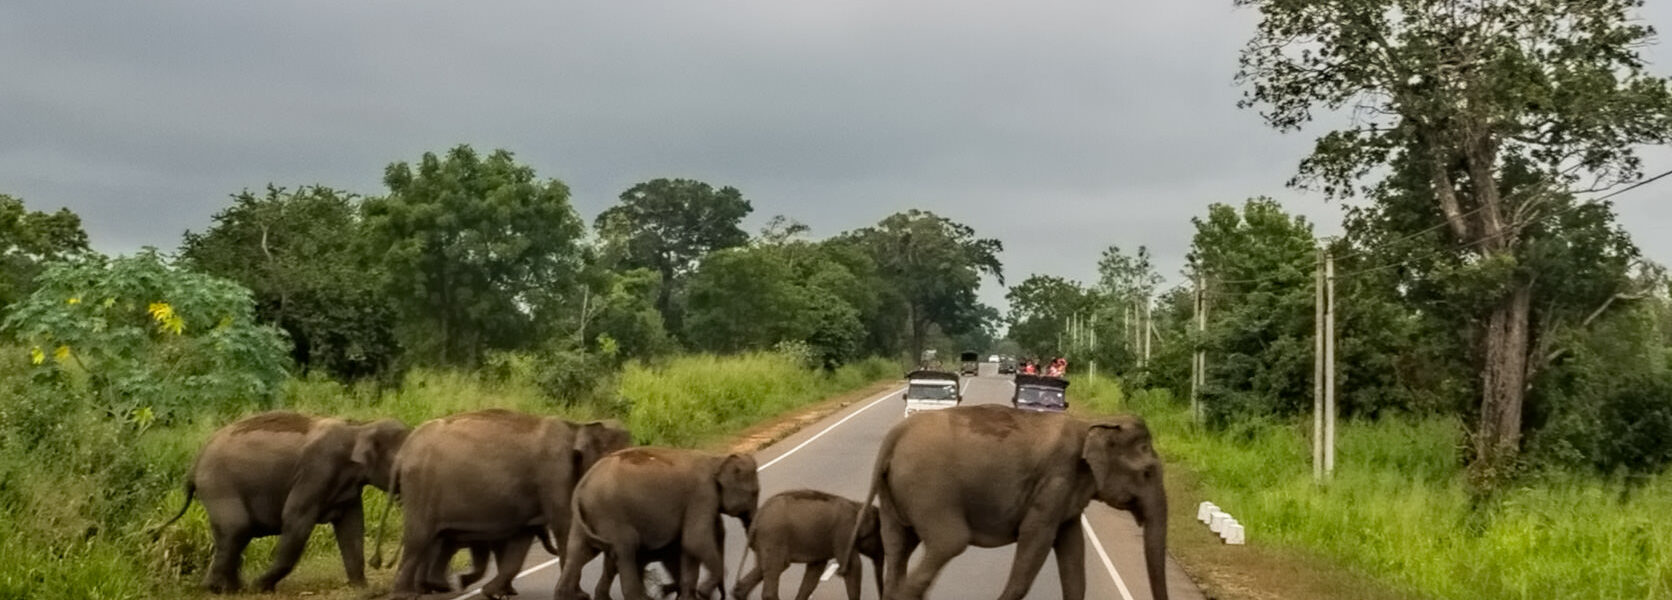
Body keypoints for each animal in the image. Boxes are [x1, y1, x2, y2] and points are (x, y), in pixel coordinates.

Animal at [154, 411, 411, 594]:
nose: (381, 563)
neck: (360, 426)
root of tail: (194, 465)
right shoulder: (317, 471)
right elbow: (296, 521)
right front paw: (259, 587)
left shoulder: (347, 488)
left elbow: (352, 527)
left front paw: (364, 590)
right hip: (218, 485)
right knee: (237, 528)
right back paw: (219, 589)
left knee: (237, 534)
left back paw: (232, 588)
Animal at [387, 409, 635, 600]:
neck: (577, 427)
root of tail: (403, 454)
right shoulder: (554, 474)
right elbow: (565, 526)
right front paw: (578, 596)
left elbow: (521, 541)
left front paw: (492, 592)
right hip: (421, 488)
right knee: (419, 538)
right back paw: (406, 595)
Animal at [555, 447, 765, 600]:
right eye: (754, 492)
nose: (728, 593)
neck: (717, 460)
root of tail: (581, 486)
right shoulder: (702, 495)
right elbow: (695, 540)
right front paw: (702, 592)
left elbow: (689, 547)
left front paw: (691, 594)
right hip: (609, 514)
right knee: (626, 550)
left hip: (586, 520)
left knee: (579, 553)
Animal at [735, 491, 889, 600]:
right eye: (879, 537)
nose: (882, 595)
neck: (857, 505)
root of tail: (756, 519)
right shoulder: (844, 535)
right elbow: (854, 567)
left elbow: (815, 571)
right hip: (773, 538)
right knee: (776, 568)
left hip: (765, 542)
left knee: (761, 568)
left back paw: (739, 592)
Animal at [842, 404, 1170, 600]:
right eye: (1147, 472)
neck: (1092, 422)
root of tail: (896, 434)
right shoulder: (1055, 481)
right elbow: (1036, 539)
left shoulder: (1065, 493)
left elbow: (1072, 549)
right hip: (930, 490)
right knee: (948, 543)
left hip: (895, 495)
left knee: (898, 547)